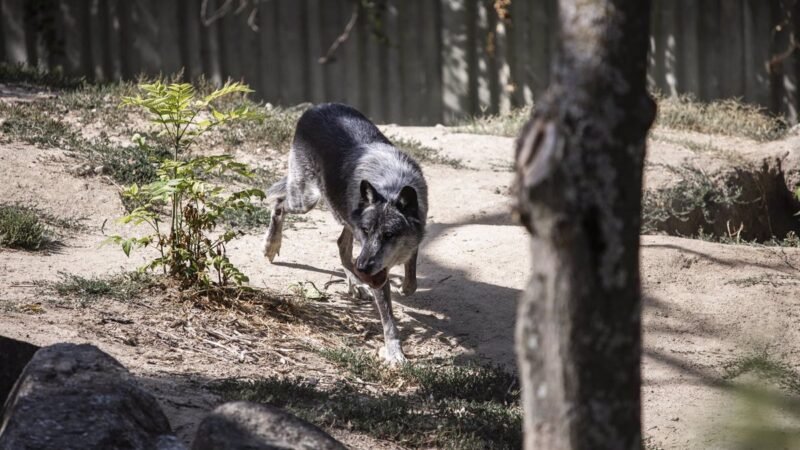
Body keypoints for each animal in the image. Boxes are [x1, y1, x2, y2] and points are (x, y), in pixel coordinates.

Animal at [260, 103, 424, 364]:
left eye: (389, 235)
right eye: (367, 231)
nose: (364, 268)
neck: (391, 185)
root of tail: (316, 107)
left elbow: (412, 274)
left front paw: (404, 287)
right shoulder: (372, 260)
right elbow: (388, 319)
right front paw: (394, 353)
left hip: (340, 215)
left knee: (342, 247)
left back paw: (356, 284)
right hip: (306, 200)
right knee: (279, 202)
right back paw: (271, 245)